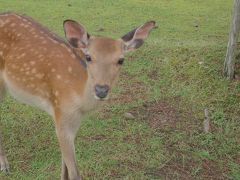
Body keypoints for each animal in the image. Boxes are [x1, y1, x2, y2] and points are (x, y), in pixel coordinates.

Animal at [0, 11, 156, 179]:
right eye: (88, 57)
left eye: (121, 60)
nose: (101, 90)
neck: (80, 101)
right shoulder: (62, 112)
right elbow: (74, 173)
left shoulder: (71, 121)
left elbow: (65, 168)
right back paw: (4, 165)